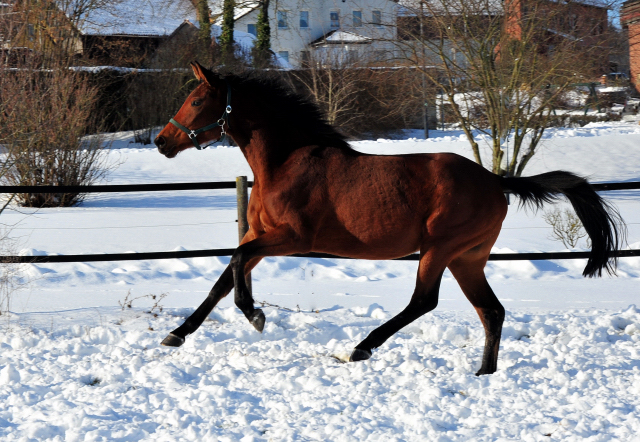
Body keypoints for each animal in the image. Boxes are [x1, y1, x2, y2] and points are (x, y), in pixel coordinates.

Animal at [152, 61, 624, 372]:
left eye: (197, 99)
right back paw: (483, 372)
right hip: (468, 257)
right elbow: (223, 277)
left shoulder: (291, 238)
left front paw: (255, 316)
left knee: (425, 301)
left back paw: (361, 348)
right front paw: (176, 334)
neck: (286, 162)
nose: (161, 142)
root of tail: (495, 180)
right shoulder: (263, 236)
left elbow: (234, 264)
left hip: (440, 248)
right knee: (491, 310)